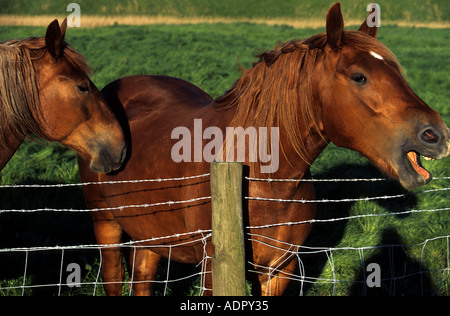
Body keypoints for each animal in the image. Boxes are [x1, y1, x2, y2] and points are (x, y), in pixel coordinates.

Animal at [78, 3, 450, 296]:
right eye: (359, 77)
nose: (436, 134)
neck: (262, 177)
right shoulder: (215, 269)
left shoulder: (280, 268)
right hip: (105, 223)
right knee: (113, 277)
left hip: (150, 237)